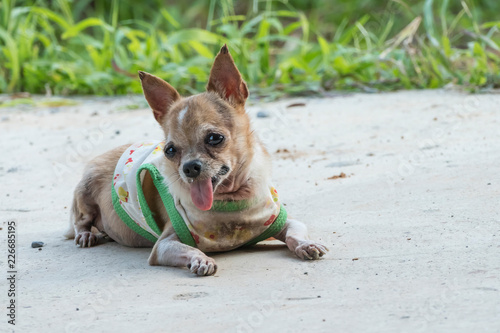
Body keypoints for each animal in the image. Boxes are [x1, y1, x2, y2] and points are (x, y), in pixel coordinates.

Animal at [66, 44, 330, 274]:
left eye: (214, 138)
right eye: (170, 150)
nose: (189, 167)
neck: (230, 202)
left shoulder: (283, 221)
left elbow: (295, 233)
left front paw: (306, 244)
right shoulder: (163, 246)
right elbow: (189, 249)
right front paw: (200, 259)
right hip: (85, 192)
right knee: (81, 220)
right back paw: (86, 234)